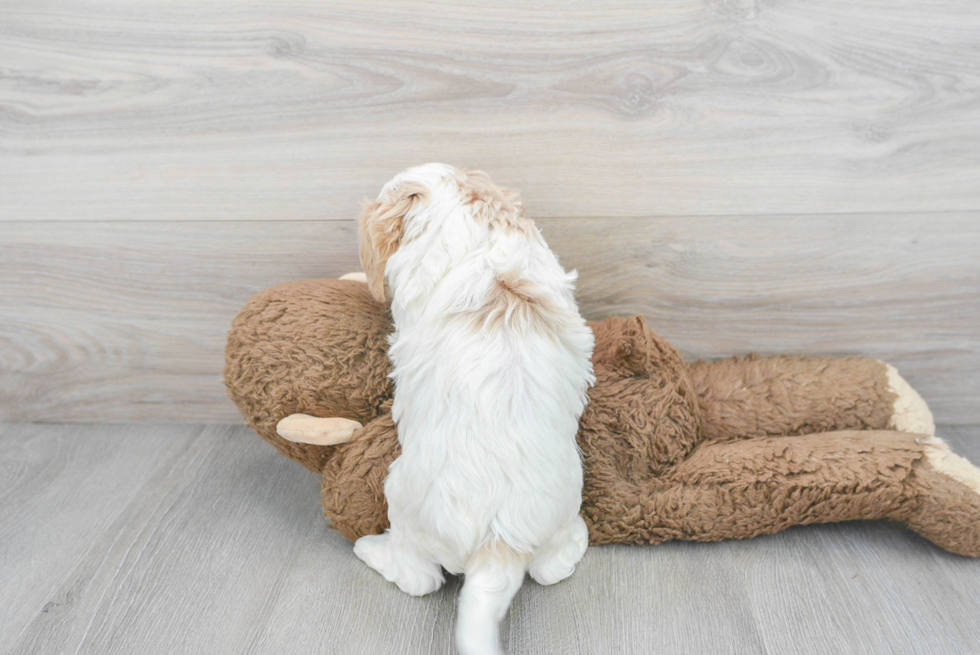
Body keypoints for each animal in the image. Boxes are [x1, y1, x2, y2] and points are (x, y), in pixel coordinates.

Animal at [354, 164, 592, 655]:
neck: (478, 223)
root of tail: (498, 544)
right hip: (561, 511)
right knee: (550, 568)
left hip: (401, 497)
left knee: (419, 578)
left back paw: (371, 549)